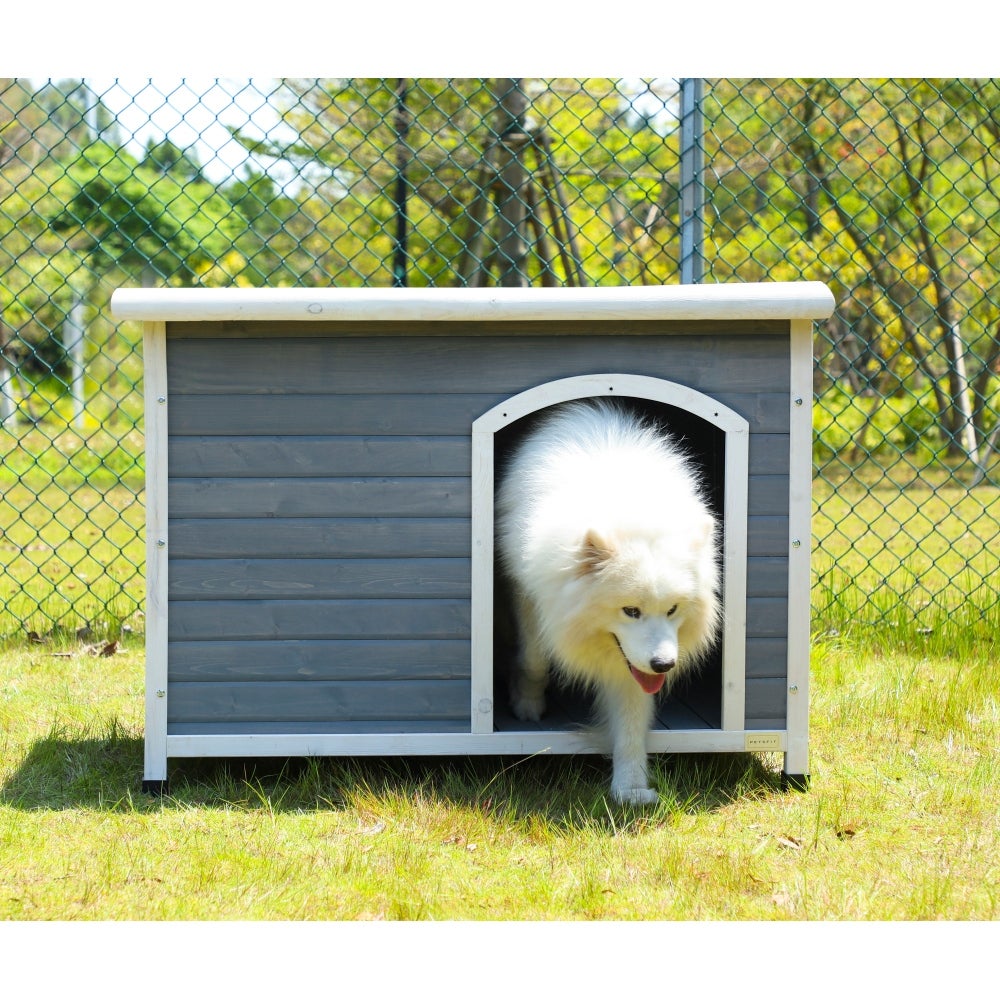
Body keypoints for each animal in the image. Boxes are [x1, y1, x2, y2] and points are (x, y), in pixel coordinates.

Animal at [498, 398, 720, 804]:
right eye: (630, 611)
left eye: (673, 609)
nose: (664, 664)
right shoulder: (526, 592)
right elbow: (535, 660)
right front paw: (527, 703)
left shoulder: (632, 661)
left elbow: (631, 716)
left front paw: (630, 788)